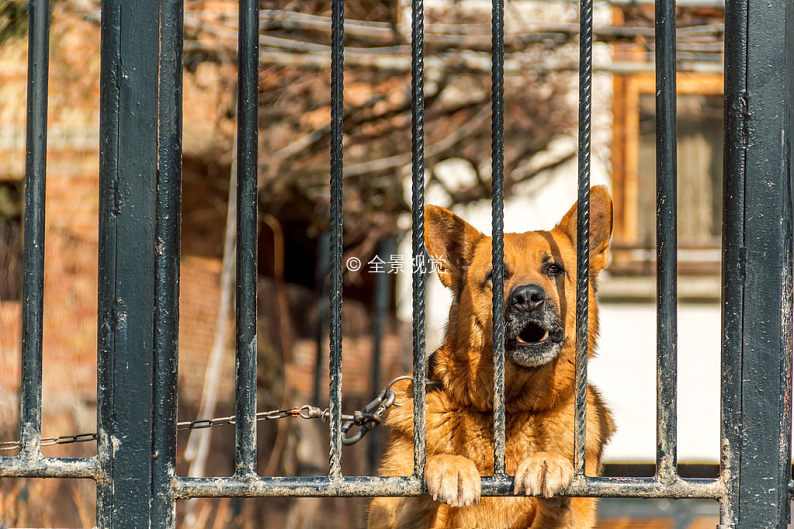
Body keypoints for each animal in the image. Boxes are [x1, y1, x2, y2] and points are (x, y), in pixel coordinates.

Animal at [368, 186, 616, 528]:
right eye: (495, 276)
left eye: (553, 269)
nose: (527, 299)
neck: (512, 408)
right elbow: (417, 495)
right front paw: (449, 464)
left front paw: (547, 462)